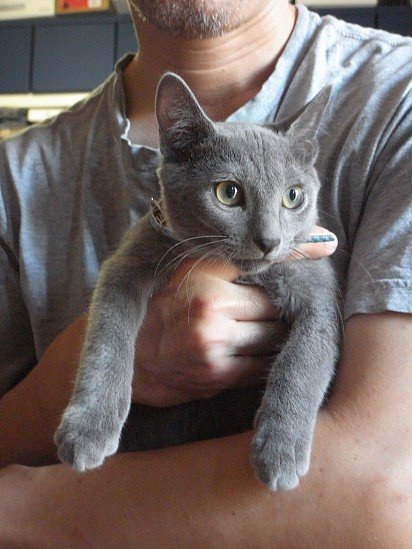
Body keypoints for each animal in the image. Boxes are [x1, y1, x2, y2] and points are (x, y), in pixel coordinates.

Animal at [54, 71, 338, 488]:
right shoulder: (129, 260)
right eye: (228, 192)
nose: (269, 241)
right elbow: (107, 336)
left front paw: (279, 451)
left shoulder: (318, 291)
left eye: (293, 196)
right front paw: (88, 426)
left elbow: (303, 359)